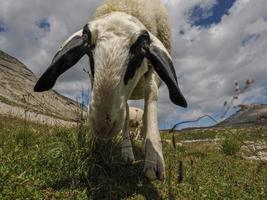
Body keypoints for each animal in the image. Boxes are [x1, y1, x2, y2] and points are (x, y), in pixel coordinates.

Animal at [34, 0, 188, 180]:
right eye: (89, 50)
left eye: (142, 47)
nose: (103, 126)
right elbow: (125, 114)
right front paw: (115, 149)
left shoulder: (152, 73)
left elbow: (151, 94)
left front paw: (153, 157)